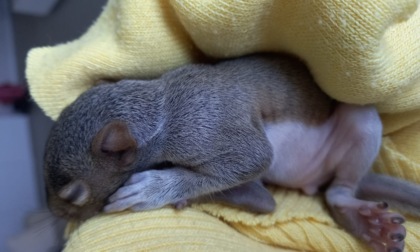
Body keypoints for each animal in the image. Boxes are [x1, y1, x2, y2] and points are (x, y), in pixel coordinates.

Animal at [44, 54, 418, 251]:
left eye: (74, 194)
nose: (56, 215)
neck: (161, 110)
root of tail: (314, 181)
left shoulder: (203, 129)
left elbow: (253, 157)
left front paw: (153, 189)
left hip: (360, 123)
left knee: (337, 192)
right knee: (266, 201)